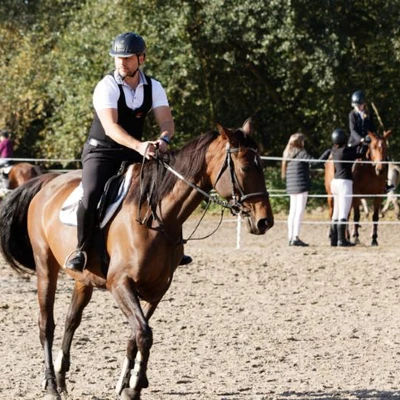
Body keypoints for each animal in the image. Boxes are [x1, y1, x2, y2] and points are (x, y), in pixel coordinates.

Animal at [0, 119, 274, 400]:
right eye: (245, 167)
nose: (265, 221)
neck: (158, 217)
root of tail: (48, 181)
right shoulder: (120, 283)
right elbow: (143, 333)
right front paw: (134, 387)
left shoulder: (157, 289)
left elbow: (137, 335)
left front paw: (128, 382)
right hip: (46, 267)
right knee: (46, 325)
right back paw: (52, 385)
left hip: (83, 278)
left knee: (71, 321)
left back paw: (62, 378)